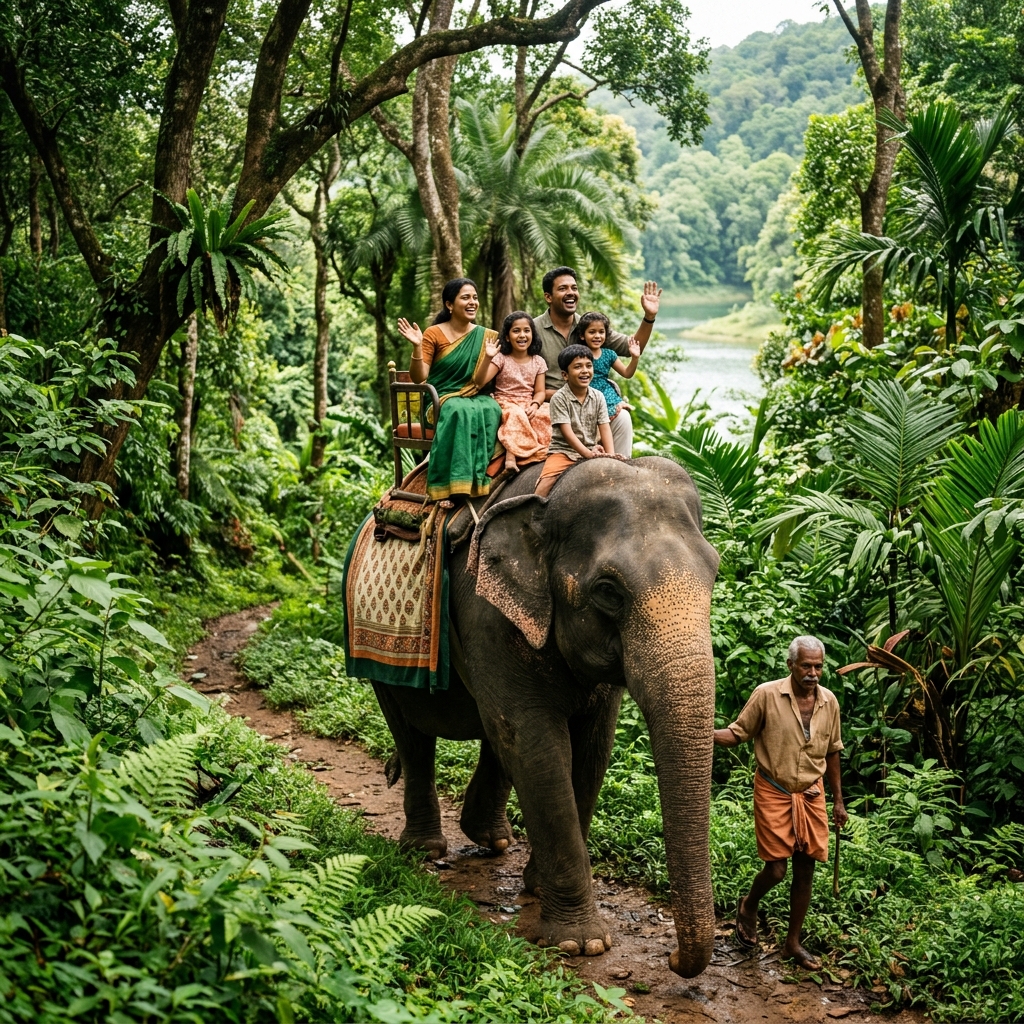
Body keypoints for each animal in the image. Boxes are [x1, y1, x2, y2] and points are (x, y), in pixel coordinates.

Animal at [365, 455, 720, 977]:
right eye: (608, 591)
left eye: (714, 574)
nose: (674, 958)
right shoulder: (484, 609)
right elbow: (536, 740)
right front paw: (580, 944)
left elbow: (593, 745)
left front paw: (536, 888)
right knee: (414, 734)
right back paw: (425, 849)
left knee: (492, 731)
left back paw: (491, 838)